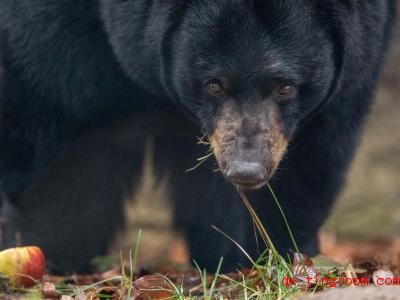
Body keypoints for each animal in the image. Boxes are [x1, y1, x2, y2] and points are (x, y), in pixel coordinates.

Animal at [0, 0, 396, 274]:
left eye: (285, 85)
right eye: (214, 84)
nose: (246, 169)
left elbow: (310, 157)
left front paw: (261, 254)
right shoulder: (58, 33)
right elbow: (61, 116)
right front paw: (53, 251)